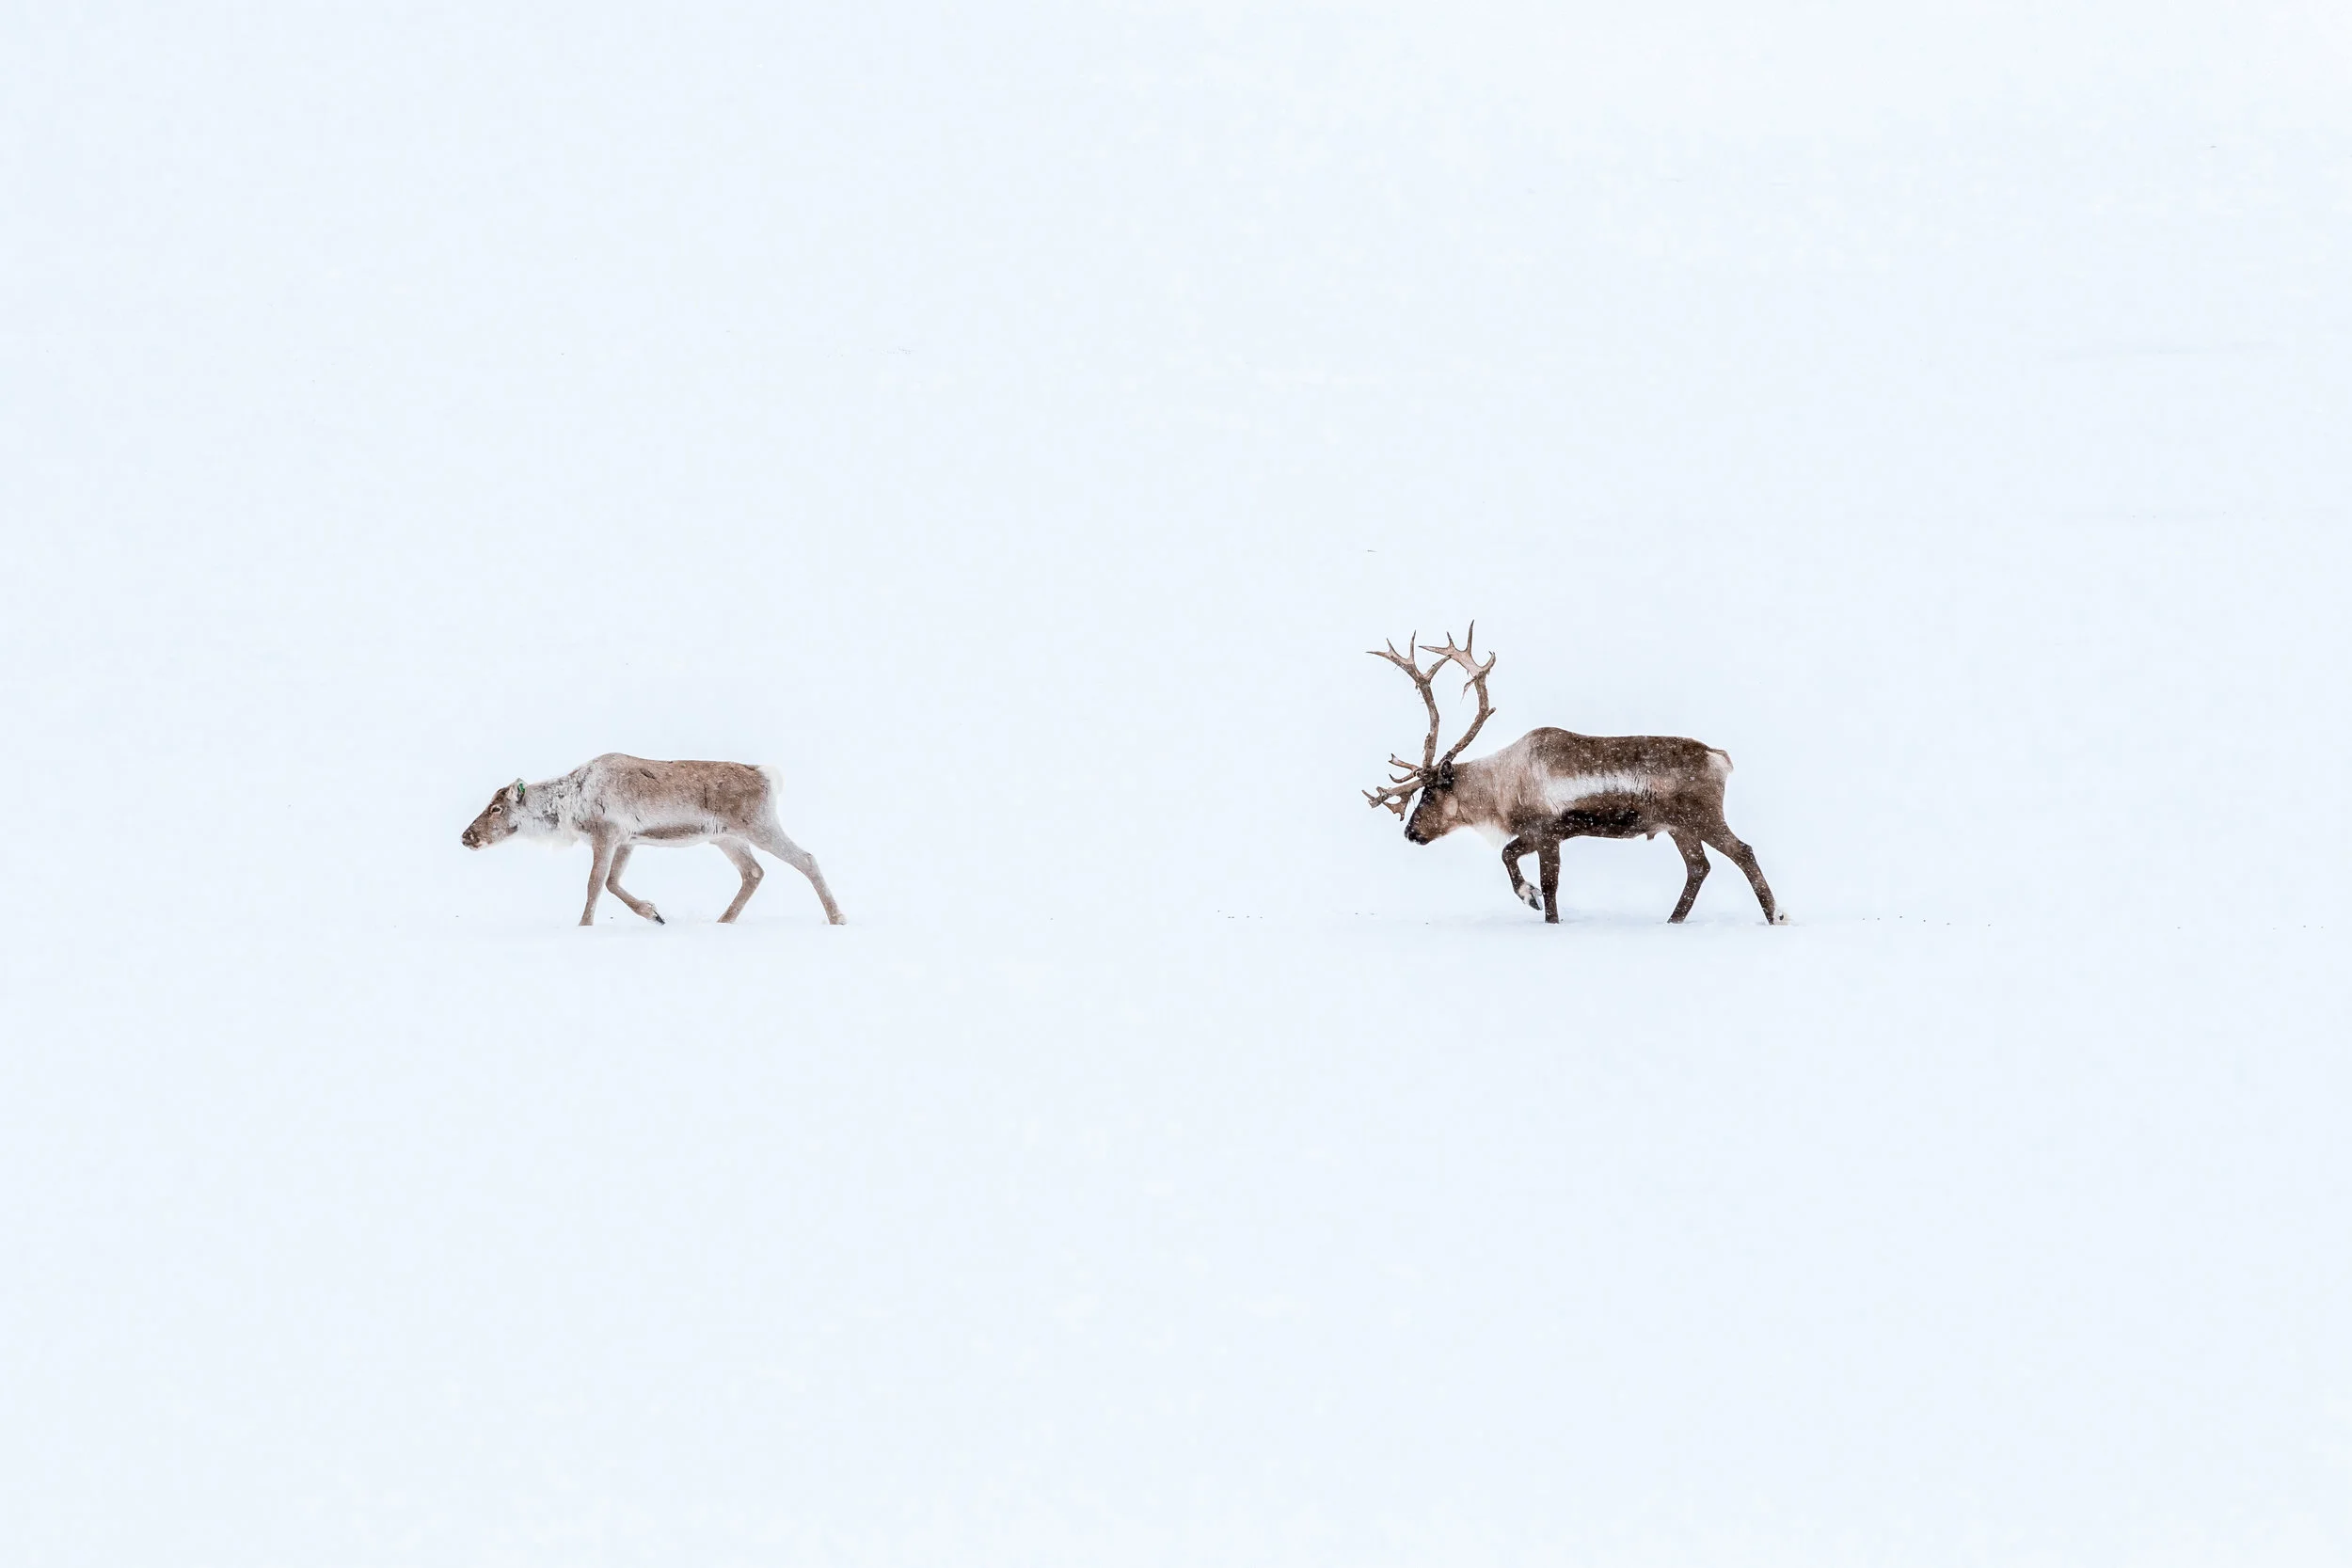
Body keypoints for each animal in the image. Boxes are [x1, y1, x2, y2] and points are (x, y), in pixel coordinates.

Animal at [460, 754, 845, 927]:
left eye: (496, 807)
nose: (466, 836)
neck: (569, 805)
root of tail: (768, 776)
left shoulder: (607, 834)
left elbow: (595, 884)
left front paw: (584, 926)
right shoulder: (628, 840)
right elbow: (613, 883)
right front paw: (654, 914)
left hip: (759, 826)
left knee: (806, 859)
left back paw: (837, 917)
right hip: (727, 839)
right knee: (754, 873)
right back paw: (723, 921)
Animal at [1365, 627, 1784, 926]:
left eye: (1429, 794)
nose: (1410, 833)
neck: (1499, 786)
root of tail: (1719, 758)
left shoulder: (1547, 831)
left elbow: (1547, 883)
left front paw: (1540, 907)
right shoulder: (1539, 833)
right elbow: (1508, 854)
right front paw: (1528, 895)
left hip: (1703, 816)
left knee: (1742, 852)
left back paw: (1776, 916)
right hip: (1679, 827)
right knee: (1699, 867)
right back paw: (1672, 920)